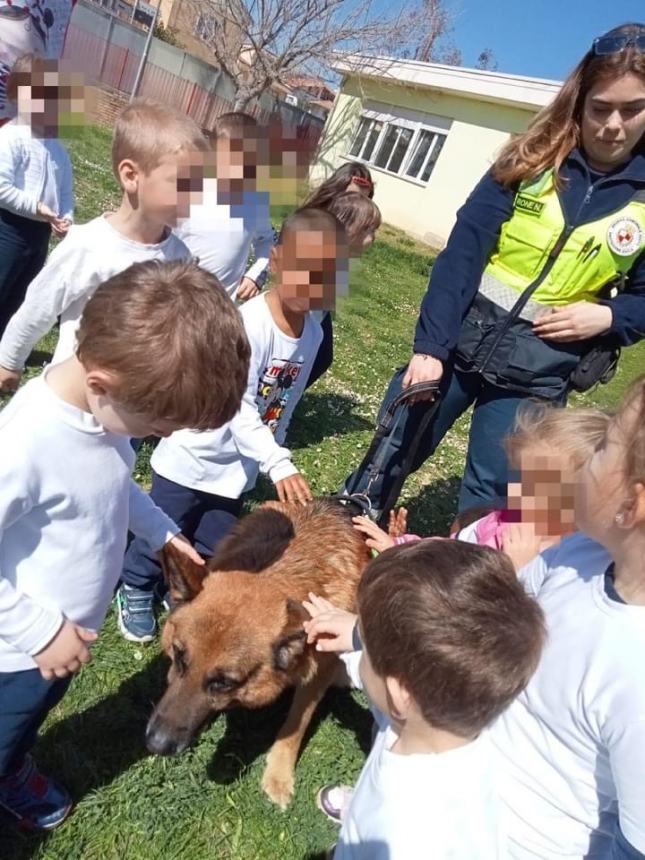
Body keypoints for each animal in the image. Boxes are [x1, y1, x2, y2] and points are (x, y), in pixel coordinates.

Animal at [144, 498, 370, 808]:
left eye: (223, 682)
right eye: (178, 656)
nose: (155, 744)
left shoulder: (317, 677)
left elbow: (296, 724)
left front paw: (279, 775)